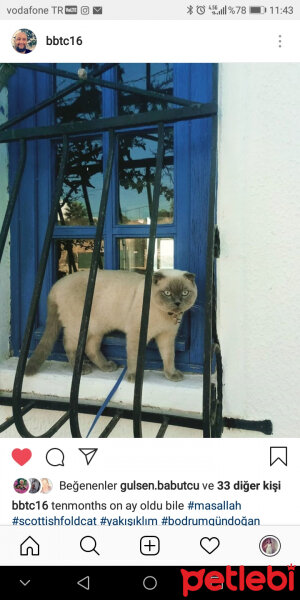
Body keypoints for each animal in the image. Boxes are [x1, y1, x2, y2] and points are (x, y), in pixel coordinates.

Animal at [25, 270, 197, 382]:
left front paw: (172, 375)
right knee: (69, 345)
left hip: (97, 328)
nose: (177, 303)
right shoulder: (136, 335)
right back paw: (83, 369)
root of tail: (57, 284)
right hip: (79, 327)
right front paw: (133, 377)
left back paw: (107, 366)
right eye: (167, 293)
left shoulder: (167, 336)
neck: (166, 315)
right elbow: (134, 358)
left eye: (185, 293)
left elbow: (169, 357)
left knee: (90, 348)